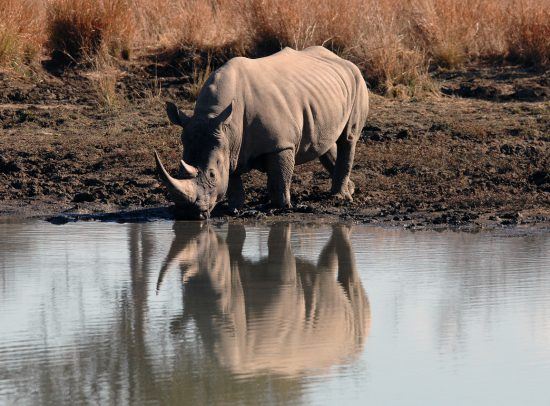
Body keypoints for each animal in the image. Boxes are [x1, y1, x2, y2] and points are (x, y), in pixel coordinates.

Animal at [155, 46, 370, 219]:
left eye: (212, 174)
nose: (186, 214)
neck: (218, 118)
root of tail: (342, 59)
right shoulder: (229, 144)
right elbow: (233, 178)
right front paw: (234, 208)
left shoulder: (280, 144)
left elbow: (280, 176)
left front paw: (279, 207)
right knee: (324, 142)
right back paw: (350, 189)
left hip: (358, 81)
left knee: (348, 139)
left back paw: (340, 196)